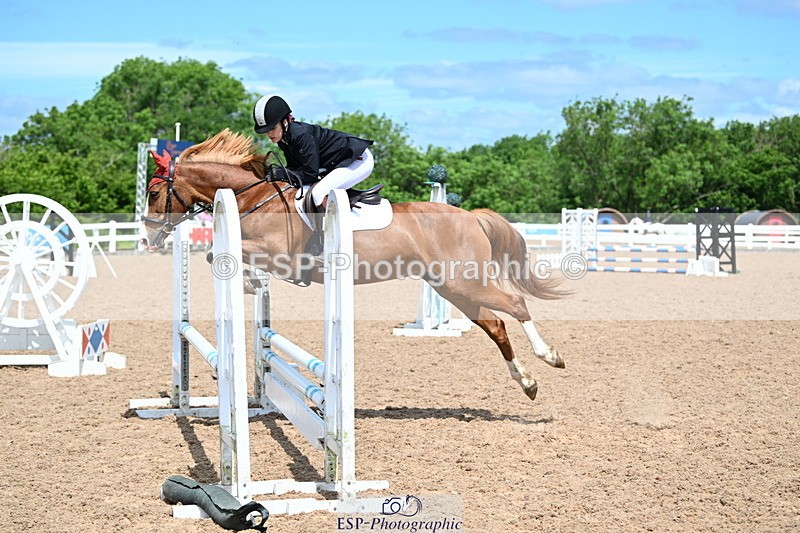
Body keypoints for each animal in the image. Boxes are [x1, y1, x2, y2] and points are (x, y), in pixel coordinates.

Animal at [142, 129, 569, 402]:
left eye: (154, 193)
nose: (146, 239)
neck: (255, 197)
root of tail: (471, 217)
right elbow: (221, 255)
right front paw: (252, 283)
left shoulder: (278, 252)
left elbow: (218, 253)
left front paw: (249, 283)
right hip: (452, 288)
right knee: (496, 325)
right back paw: (527, 383)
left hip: (464, 283)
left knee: (515, 305)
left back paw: (550, 357)